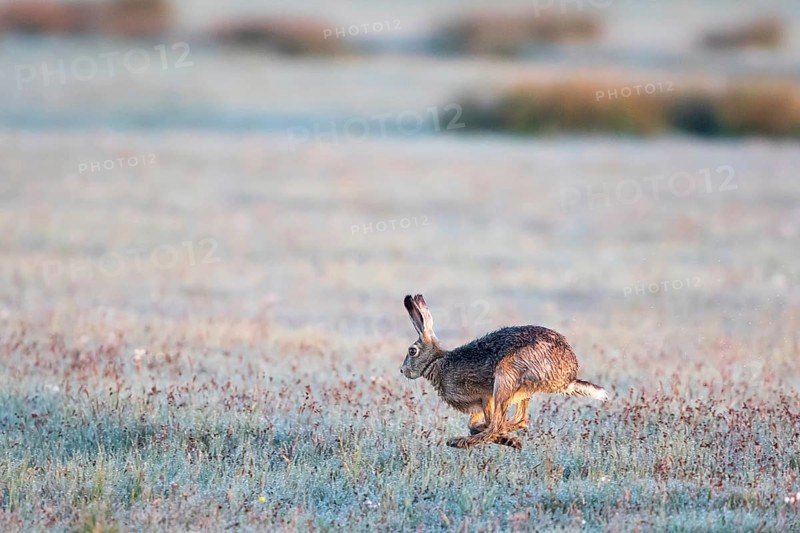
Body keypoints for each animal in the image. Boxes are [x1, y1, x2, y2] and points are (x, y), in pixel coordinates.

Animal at [400, 294, 607, 449]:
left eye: (412, 351)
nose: (402, 371)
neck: (436, 362)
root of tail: (568, 377)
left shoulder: (484, 397)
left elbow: (484, 423)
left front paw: (502, 438)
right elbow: (473, 424)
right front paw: (505, 438)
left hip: (505, 376)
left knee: (498, 424)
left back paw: (459, 442)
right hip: (521, 389)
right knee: (520, 419)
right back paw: (509, 440)